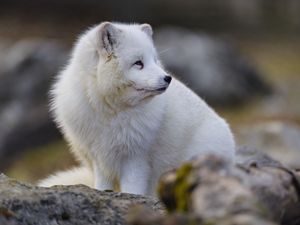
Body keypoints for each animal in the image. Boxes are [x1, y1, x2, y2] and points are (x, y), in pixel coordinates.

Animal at [38, 22, 236, 196]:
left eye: (154, 60)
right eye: (138, 63)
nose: (168, 78)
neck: (110, 112)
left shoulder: (136, 158)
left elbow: (132, 190)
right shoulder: (100, 159)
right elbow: (102, 187)